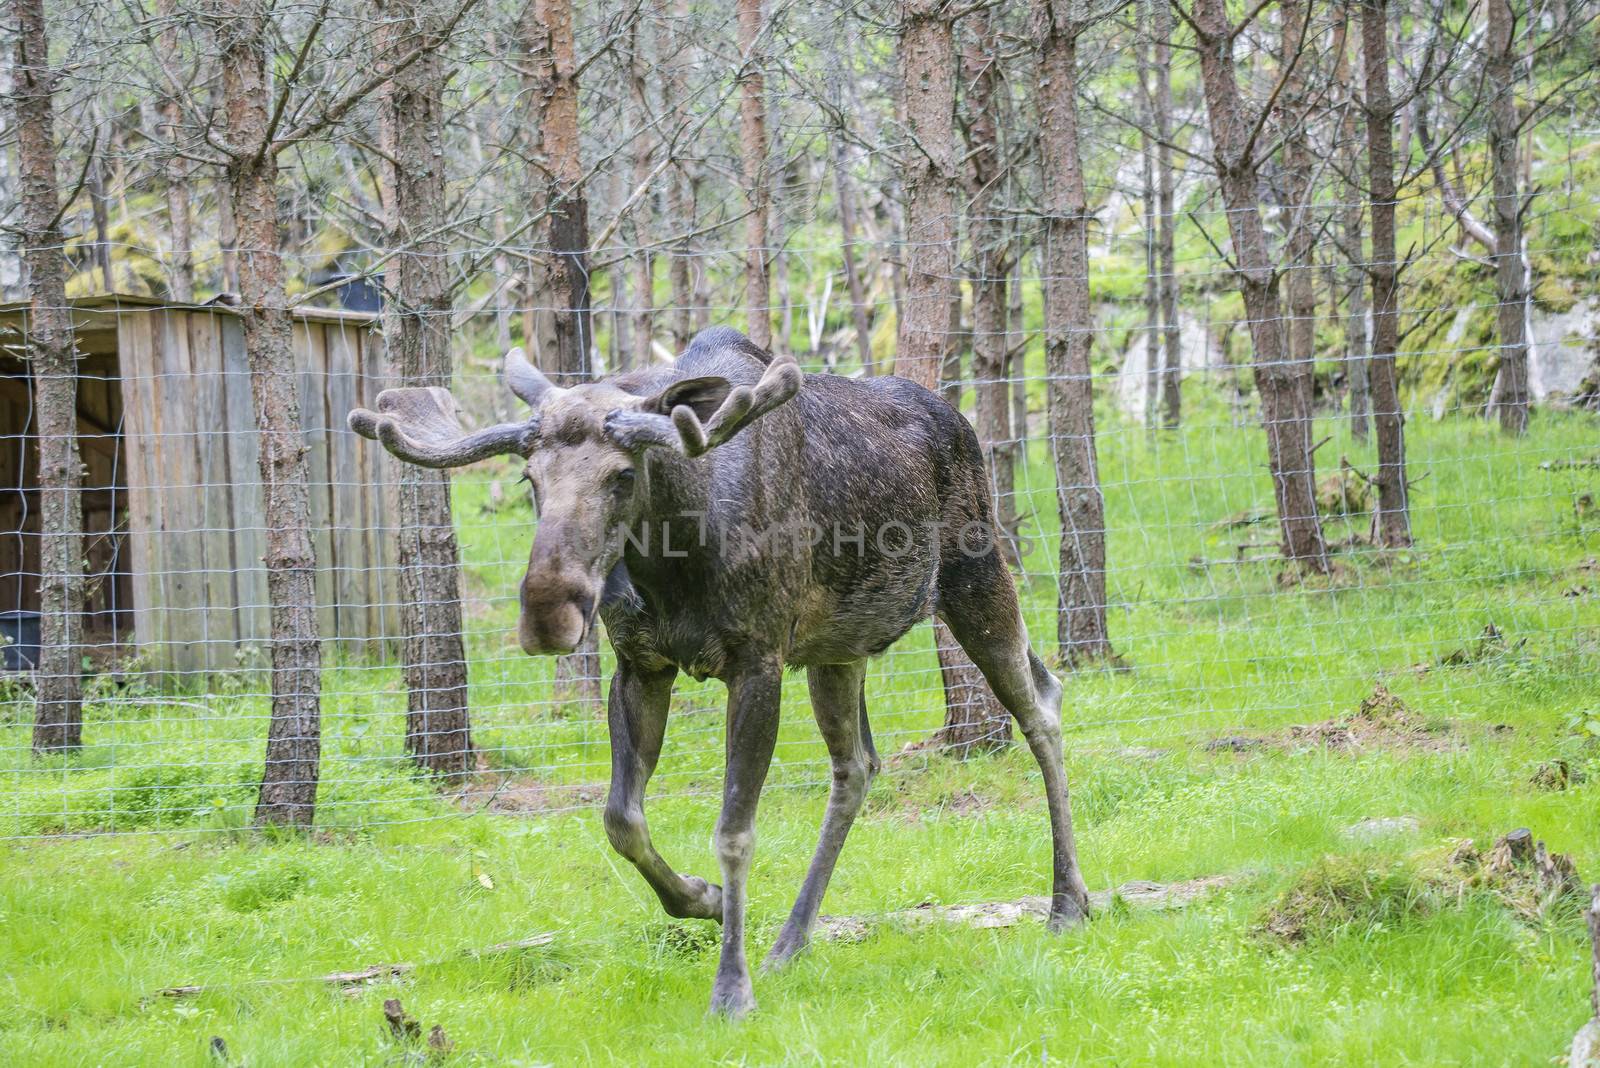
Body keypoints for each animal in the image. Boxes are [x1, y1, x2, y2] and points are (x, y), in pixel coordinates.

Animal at [350, 327, 1094, 1016]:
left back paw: (1068, 901)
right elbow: (620, 818)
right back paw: (791, 940)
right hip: (837, 649)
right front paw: (701, 901)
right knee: (857, 766)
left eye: (624, 474)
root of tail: (960, 421)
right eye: (529, 479)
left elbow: (734, 831)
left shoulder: (757, 662)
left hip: (976, 578)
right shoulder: (640, 665)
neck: (676, 557)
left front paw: (730, 989)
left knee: (1041, 707)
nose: (547, 612)